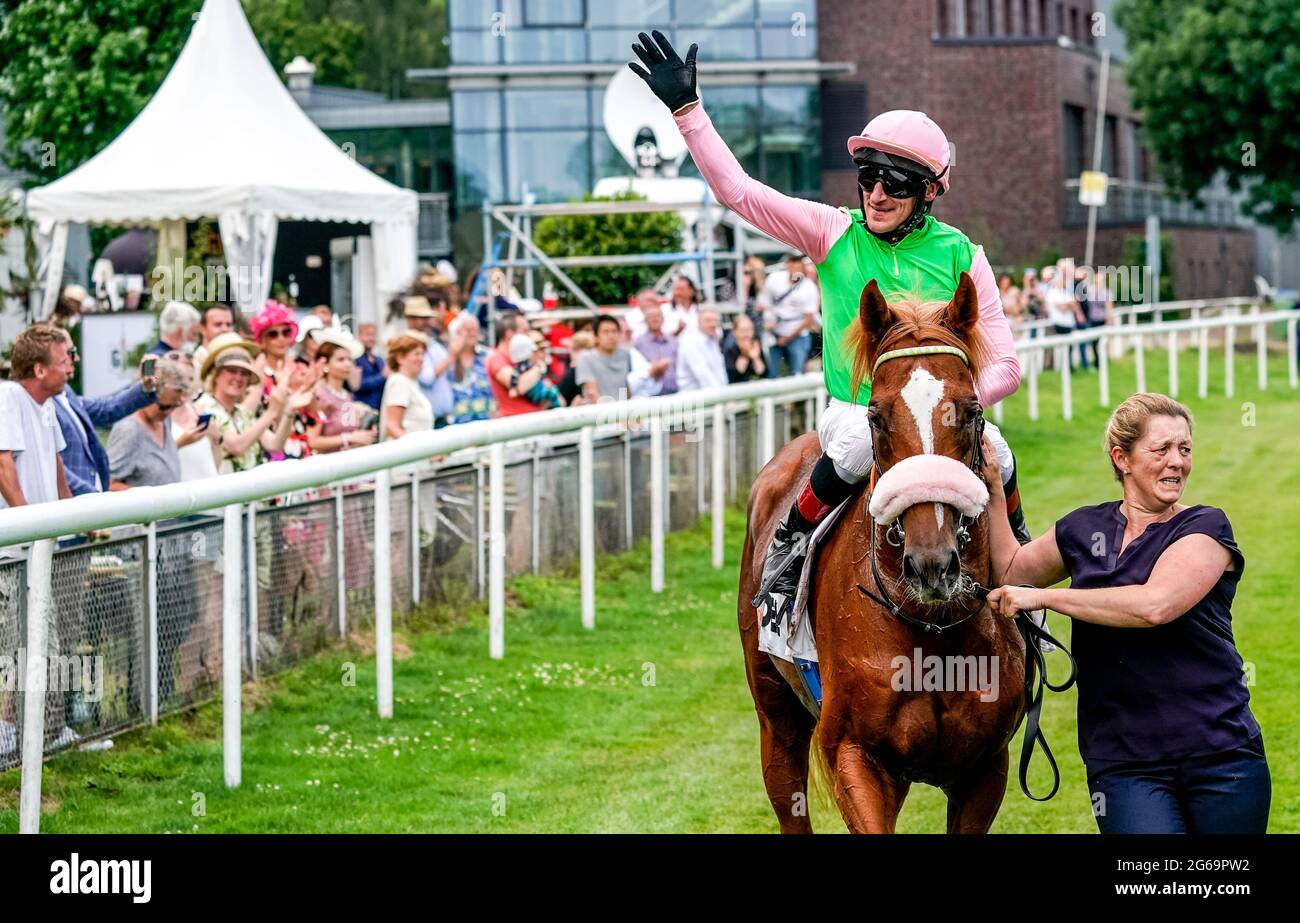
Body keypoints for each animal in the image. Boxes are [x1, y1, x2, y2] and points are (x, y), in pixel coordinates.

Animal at [743, 274, 1024, 837]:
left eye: (972, 412)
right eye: (877, 416)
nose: (931, 562)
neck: (931, 628)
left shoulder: (987, 767)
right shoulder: (857, 756)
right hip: (774, 714)